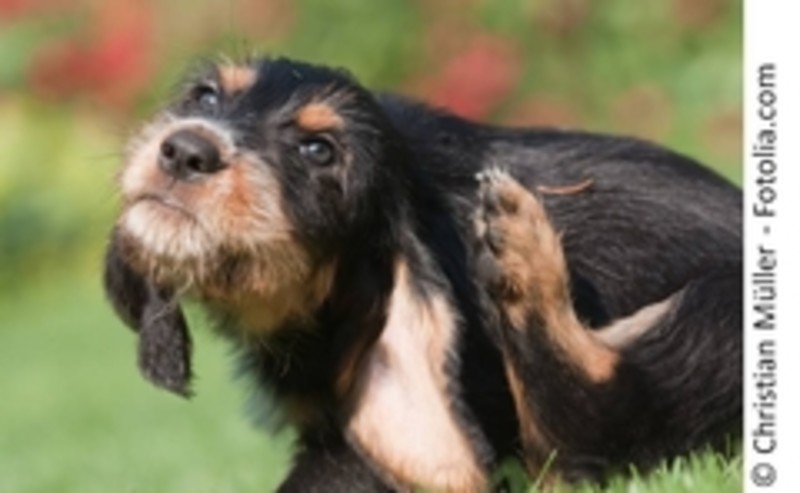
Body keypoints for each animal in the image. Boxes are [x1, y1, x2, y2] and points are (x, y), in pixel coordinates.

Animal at [103, 56, 740, 488]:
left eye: (319, 151)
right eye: (206, 96)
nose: (185, 150)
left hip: (717, 313)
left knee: (592, 428)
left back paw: (522, 250)